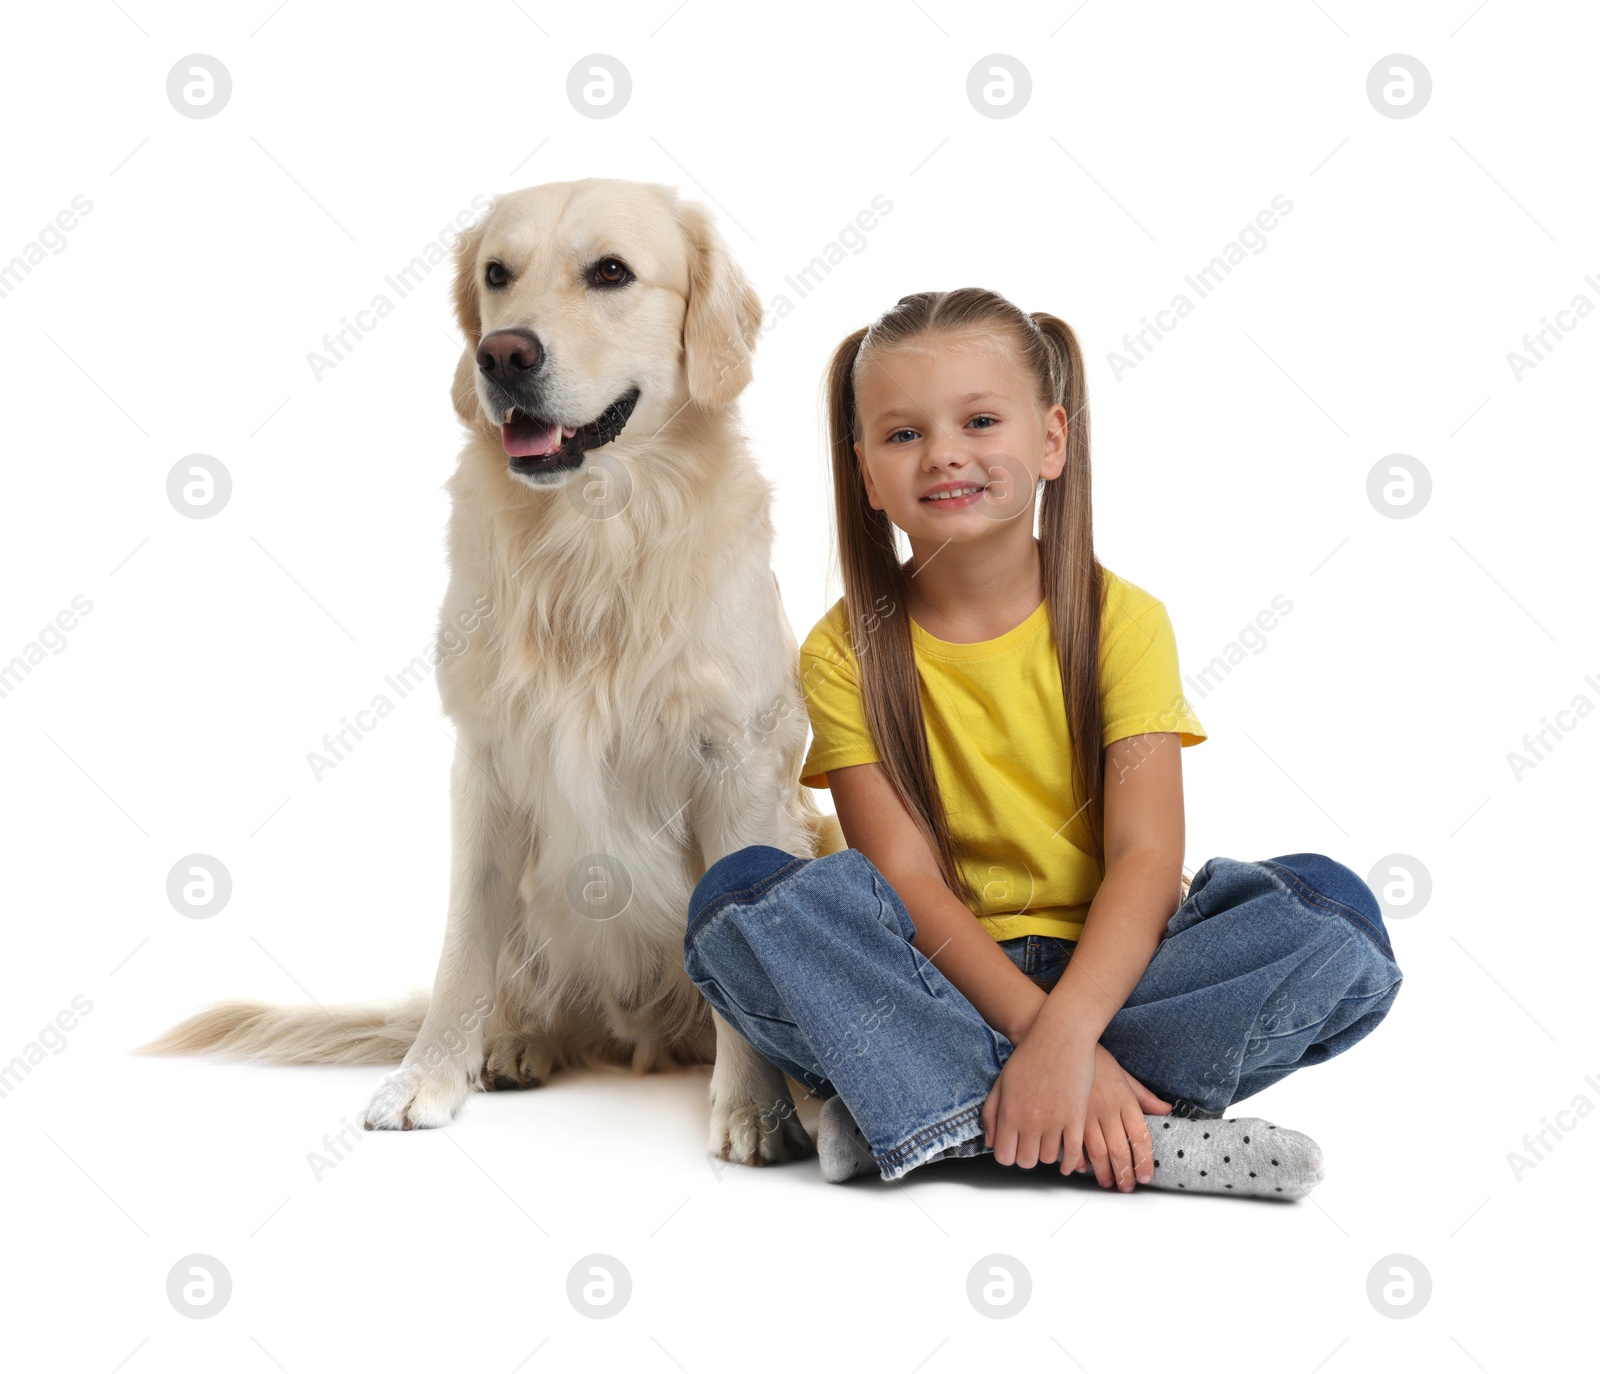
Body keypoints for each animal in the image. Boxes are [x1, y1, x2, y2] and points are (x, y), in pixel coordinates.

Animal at [134, 179, 851, 1170]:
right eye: (497, 276)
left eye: (612, 272)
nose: (502, 353)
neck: (591, 541)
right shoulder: (486, 764)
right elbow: (464, 949)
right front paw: (429, 1078)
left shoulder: (736, 764)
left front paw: (754, 1108)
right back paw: (512, 1044)